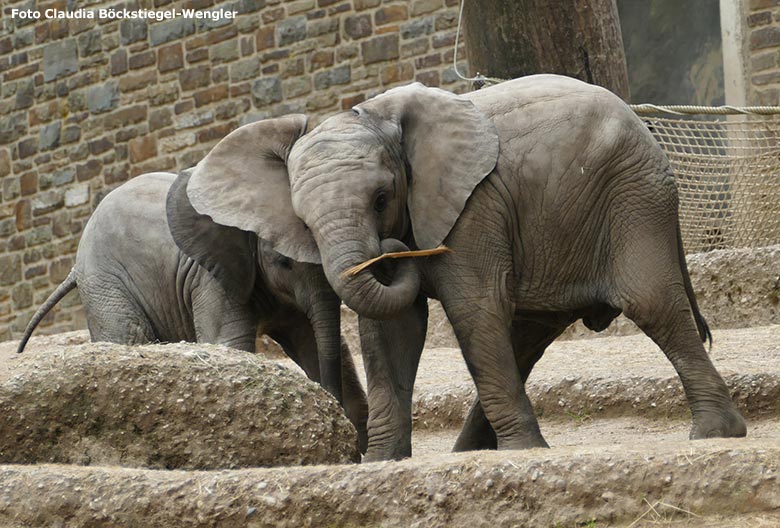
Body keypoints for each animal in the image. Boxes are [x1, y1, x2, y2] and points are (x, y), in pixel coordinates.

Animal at [17, 130, 368, 452]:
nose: (334, 409)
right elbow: (230, 343)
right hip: (105, 281)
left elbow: (316, 341)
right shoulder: (212, 274)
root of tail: (75, 266)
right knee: (129, 334)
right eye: (283, 262)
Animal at [172, 75, 748, 462]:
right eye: (303, 223)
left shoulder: (475, 205)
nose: (388, 247)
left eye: (382, 199)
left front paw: (523, 454)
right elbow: (391, 329)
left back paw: (715, 435)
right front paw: (384, 462)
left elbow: (473, 307)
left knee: (651, 304)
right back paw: (470, 453)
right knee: (527, 334)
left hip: (632, 194)